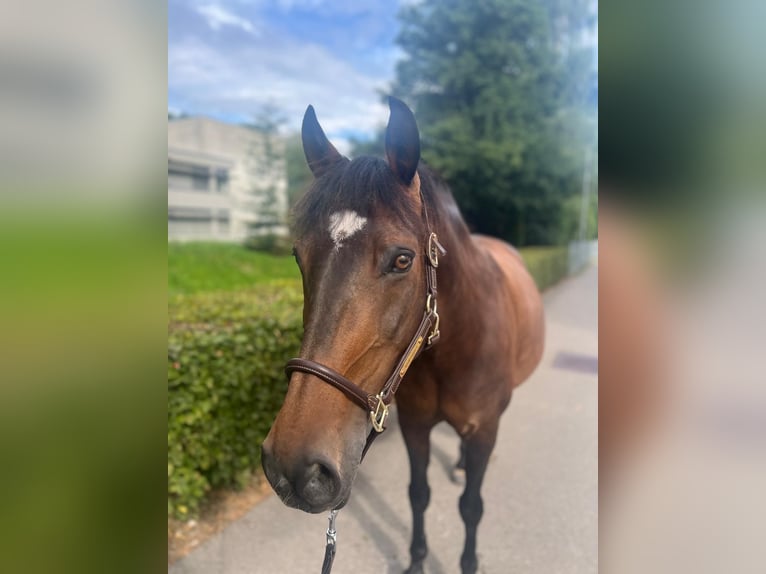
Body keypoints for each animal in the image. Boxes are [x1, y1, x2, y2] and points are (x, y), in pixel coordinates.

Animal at [264, 97, 544, 572]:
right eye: (299, 257)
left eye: (402, 260)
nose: (296, 468)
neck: (456, 350)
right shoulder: (415, 426)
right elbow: (419, 495)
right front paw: (416, 559)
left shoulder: (484, 429)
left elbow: (471, 507)